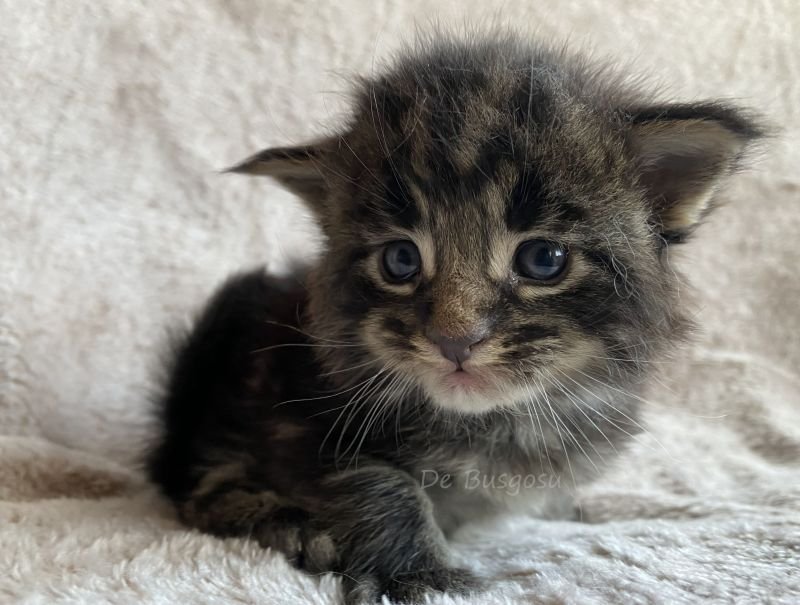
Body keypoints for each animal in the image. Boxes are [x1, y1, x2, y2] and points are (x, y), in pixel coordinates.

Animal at [147, 31, 764, 604]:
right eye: (400, 260)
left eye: (543, 259)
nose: (455, 339)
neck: (493, 426)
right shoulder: (299, 415)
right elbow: (377, 481)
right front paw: (418, 573)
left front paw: (570, 508)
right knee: (200, 484)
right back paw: (289, 526)